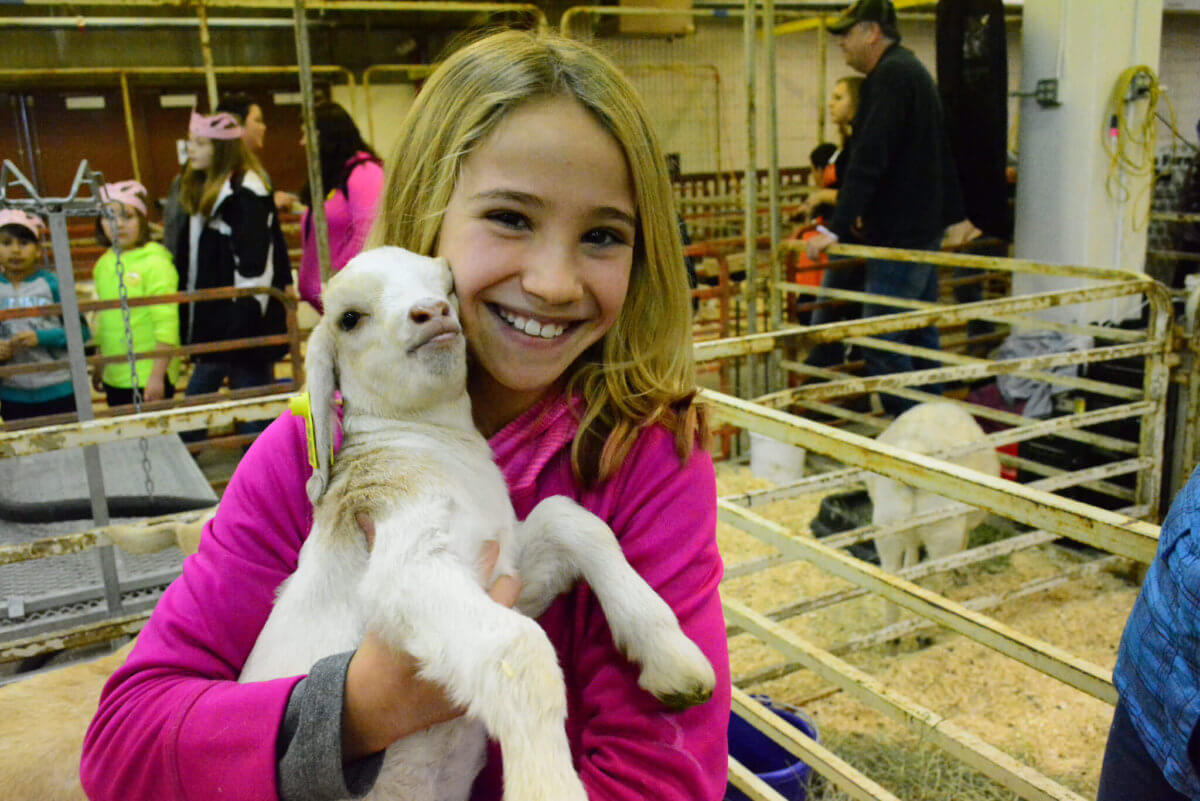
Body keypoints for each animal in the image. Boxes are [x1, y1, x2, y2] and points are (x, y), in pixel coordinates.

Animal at [238, 247, 715, 801]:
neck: (424, 441)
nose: (432, 312)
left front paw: (673, 659)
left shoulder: (504, 573)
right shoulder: (409, 563)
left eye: (445, 284)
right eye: (349, 318)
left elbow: (572, 519)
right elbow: (521, 647)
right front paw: (548, 787)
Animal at [864, 402, 1003, 573]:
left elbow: (911, 546)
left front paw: (910, 563)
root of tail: (915, 448)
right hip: (943, 534)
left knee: (891, 566)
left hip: (888, 524)